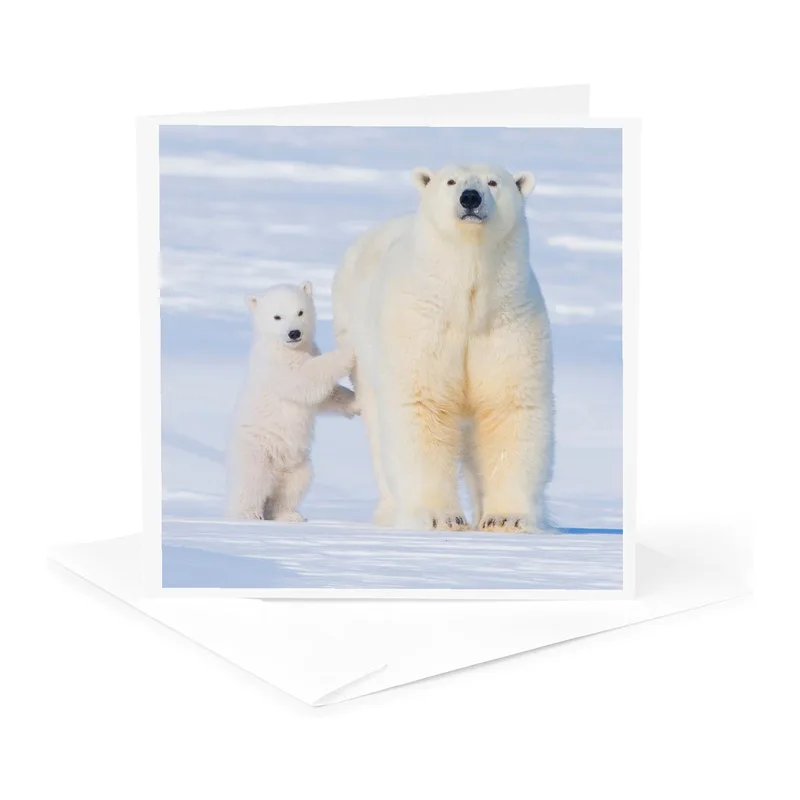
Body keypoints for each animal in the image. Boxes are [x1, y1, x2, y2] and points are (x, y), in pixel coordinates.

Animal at [226, 281, 357, 522]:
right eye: (277, 316)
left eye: (300, 312)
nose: (294, 333)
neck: (286, 347)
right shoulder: (276, 366)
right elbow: (305, 378)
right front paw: (348, 351)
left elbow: (325, 396)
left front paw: (355, 402)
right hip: (256, 451)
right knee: (251, 482)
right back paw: (247, 515)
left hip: (297, 462)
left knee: (294, 484)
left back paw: (288, 515)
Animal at [332, 164, 554, 533]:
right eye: (451, 181)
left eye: (493, 182)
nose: (470, 198)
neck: (466, 300)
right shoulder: (421, 322)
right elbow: (422, 405)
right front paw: (440, 517)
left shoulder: (508, 322)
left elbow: (508, 407)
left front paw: (506, 518)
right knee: (379, 430)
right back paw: (390, 512)